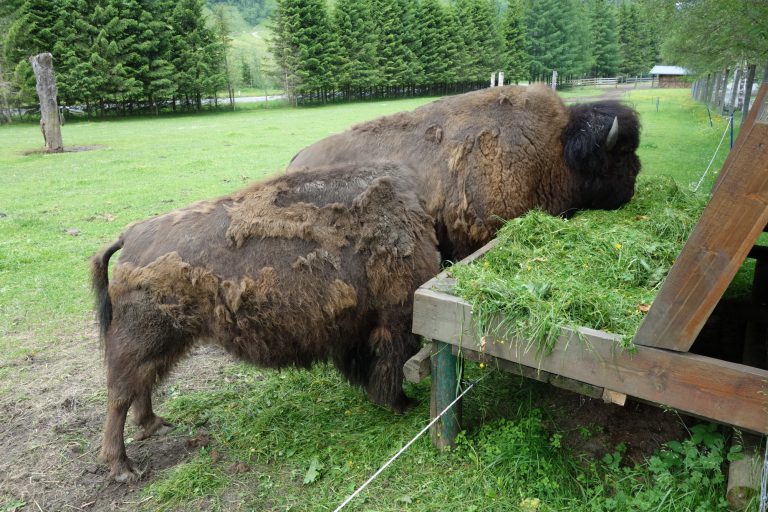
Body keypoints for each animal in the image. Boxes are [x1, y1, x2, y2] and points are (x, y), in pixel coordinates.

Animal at [91, 162, 438, 482]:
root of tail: (129, 236)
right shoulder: (396, 321)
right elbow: (393, 365)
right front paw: (402, 403)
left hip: (169, 340)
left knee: (143, 382)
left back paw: (155, 425)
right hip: (143, 338)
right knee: (120, 394)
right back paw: (123, 468)